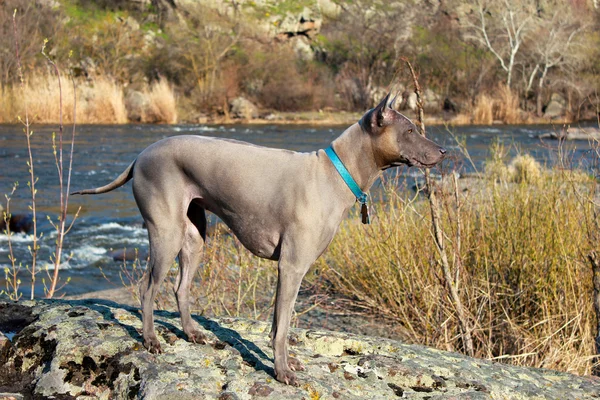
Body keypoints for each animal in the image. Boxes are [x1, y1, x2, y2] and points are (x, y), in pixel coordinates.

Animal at [72, 93, 446, 384]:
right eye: (410, 130)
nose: (442, 152)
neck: (334, 173)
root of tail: (140, 155)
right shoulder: (291, 268)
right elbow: (282, 327)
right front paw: (282, 372)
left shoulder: (289, 271)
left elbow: (279, 323)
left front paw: (286, 363)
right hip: (166, 233)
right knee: (146, 288)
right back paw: (150, 340)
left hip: (194, 239)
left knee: (181, 288)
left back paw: (192, 333)